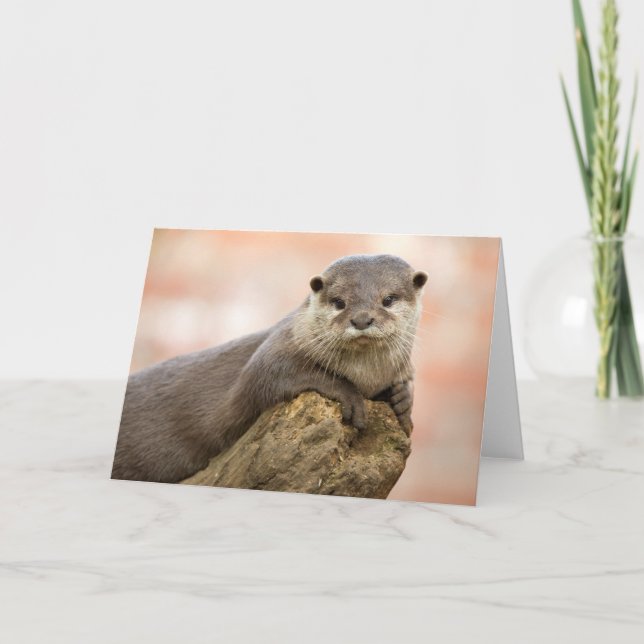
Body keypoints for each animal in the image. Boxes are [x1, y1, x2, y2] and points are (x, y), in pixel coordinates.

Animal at [111, 254, 428, 483]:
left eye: (388, 299)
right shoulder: (275, 348)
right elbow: (266, 376)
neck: (368, 376)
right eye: (339, 302)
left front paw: (402, 401)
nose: (361, 319)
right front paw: (348, 394)